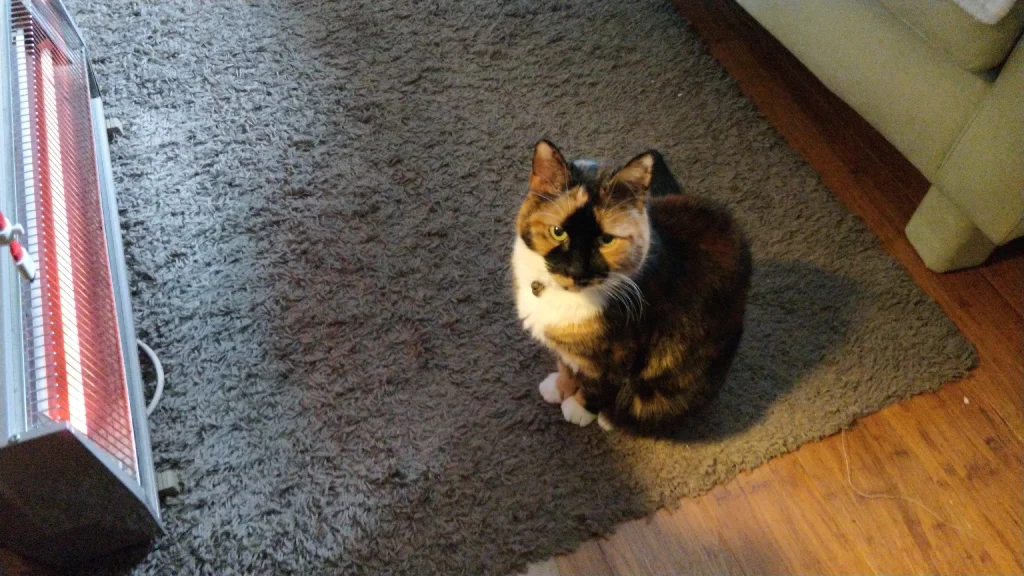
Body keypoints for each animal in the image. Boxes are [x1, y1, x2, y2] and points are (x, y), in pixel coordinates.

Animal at [512, 141, 753, 432]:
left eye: (606, 240)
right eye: (558, 232)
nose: (576, 271)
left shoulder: (622, 354)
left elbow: (599, 385)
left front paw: (578, 408)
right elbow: (566, 365)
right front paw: (559, 388)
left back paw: (610, 418)